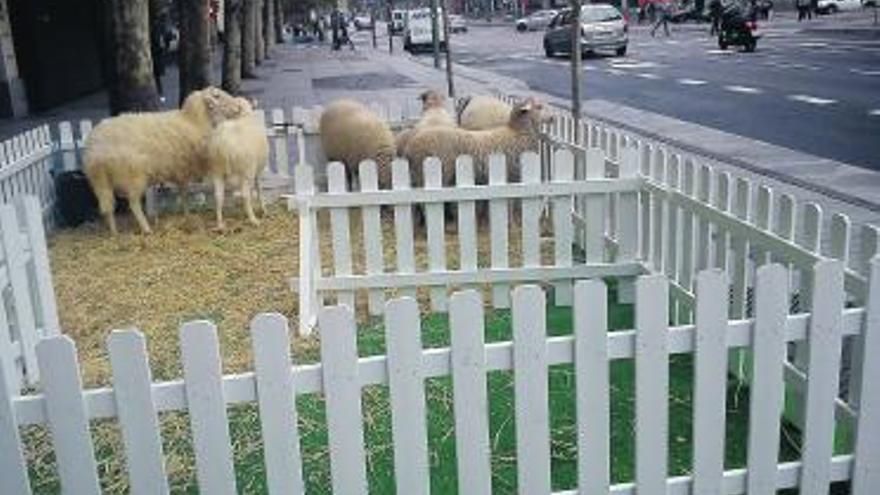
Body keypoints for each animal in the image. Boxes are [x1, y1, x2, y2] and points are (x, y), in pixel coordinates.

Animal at [84, 86, 242, 234]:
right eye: (218, 96)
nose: (238, 107)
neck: (193, 121)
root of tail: (95, 149)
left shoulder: (180, 171)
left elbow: (182, 193)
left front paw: (186, 214)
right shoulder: (183, 169)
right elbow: (184, 193)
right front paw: (187, 213)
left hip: (100, 182)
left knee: (108, 206)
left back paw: (114, 232)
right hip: (133, 176)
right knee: (133, 203)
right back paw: (146, 229)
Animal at [205, 98, 270, 232]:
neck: (245, 114)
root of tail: (223, 143)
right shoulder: (258, 170)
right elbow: (259, 189)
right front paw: (263, 209)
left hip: (216, 170)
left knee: (218, 196)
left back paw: (220, 225)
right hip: (246, 170)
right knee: (245, 195)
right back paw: (253, 220)